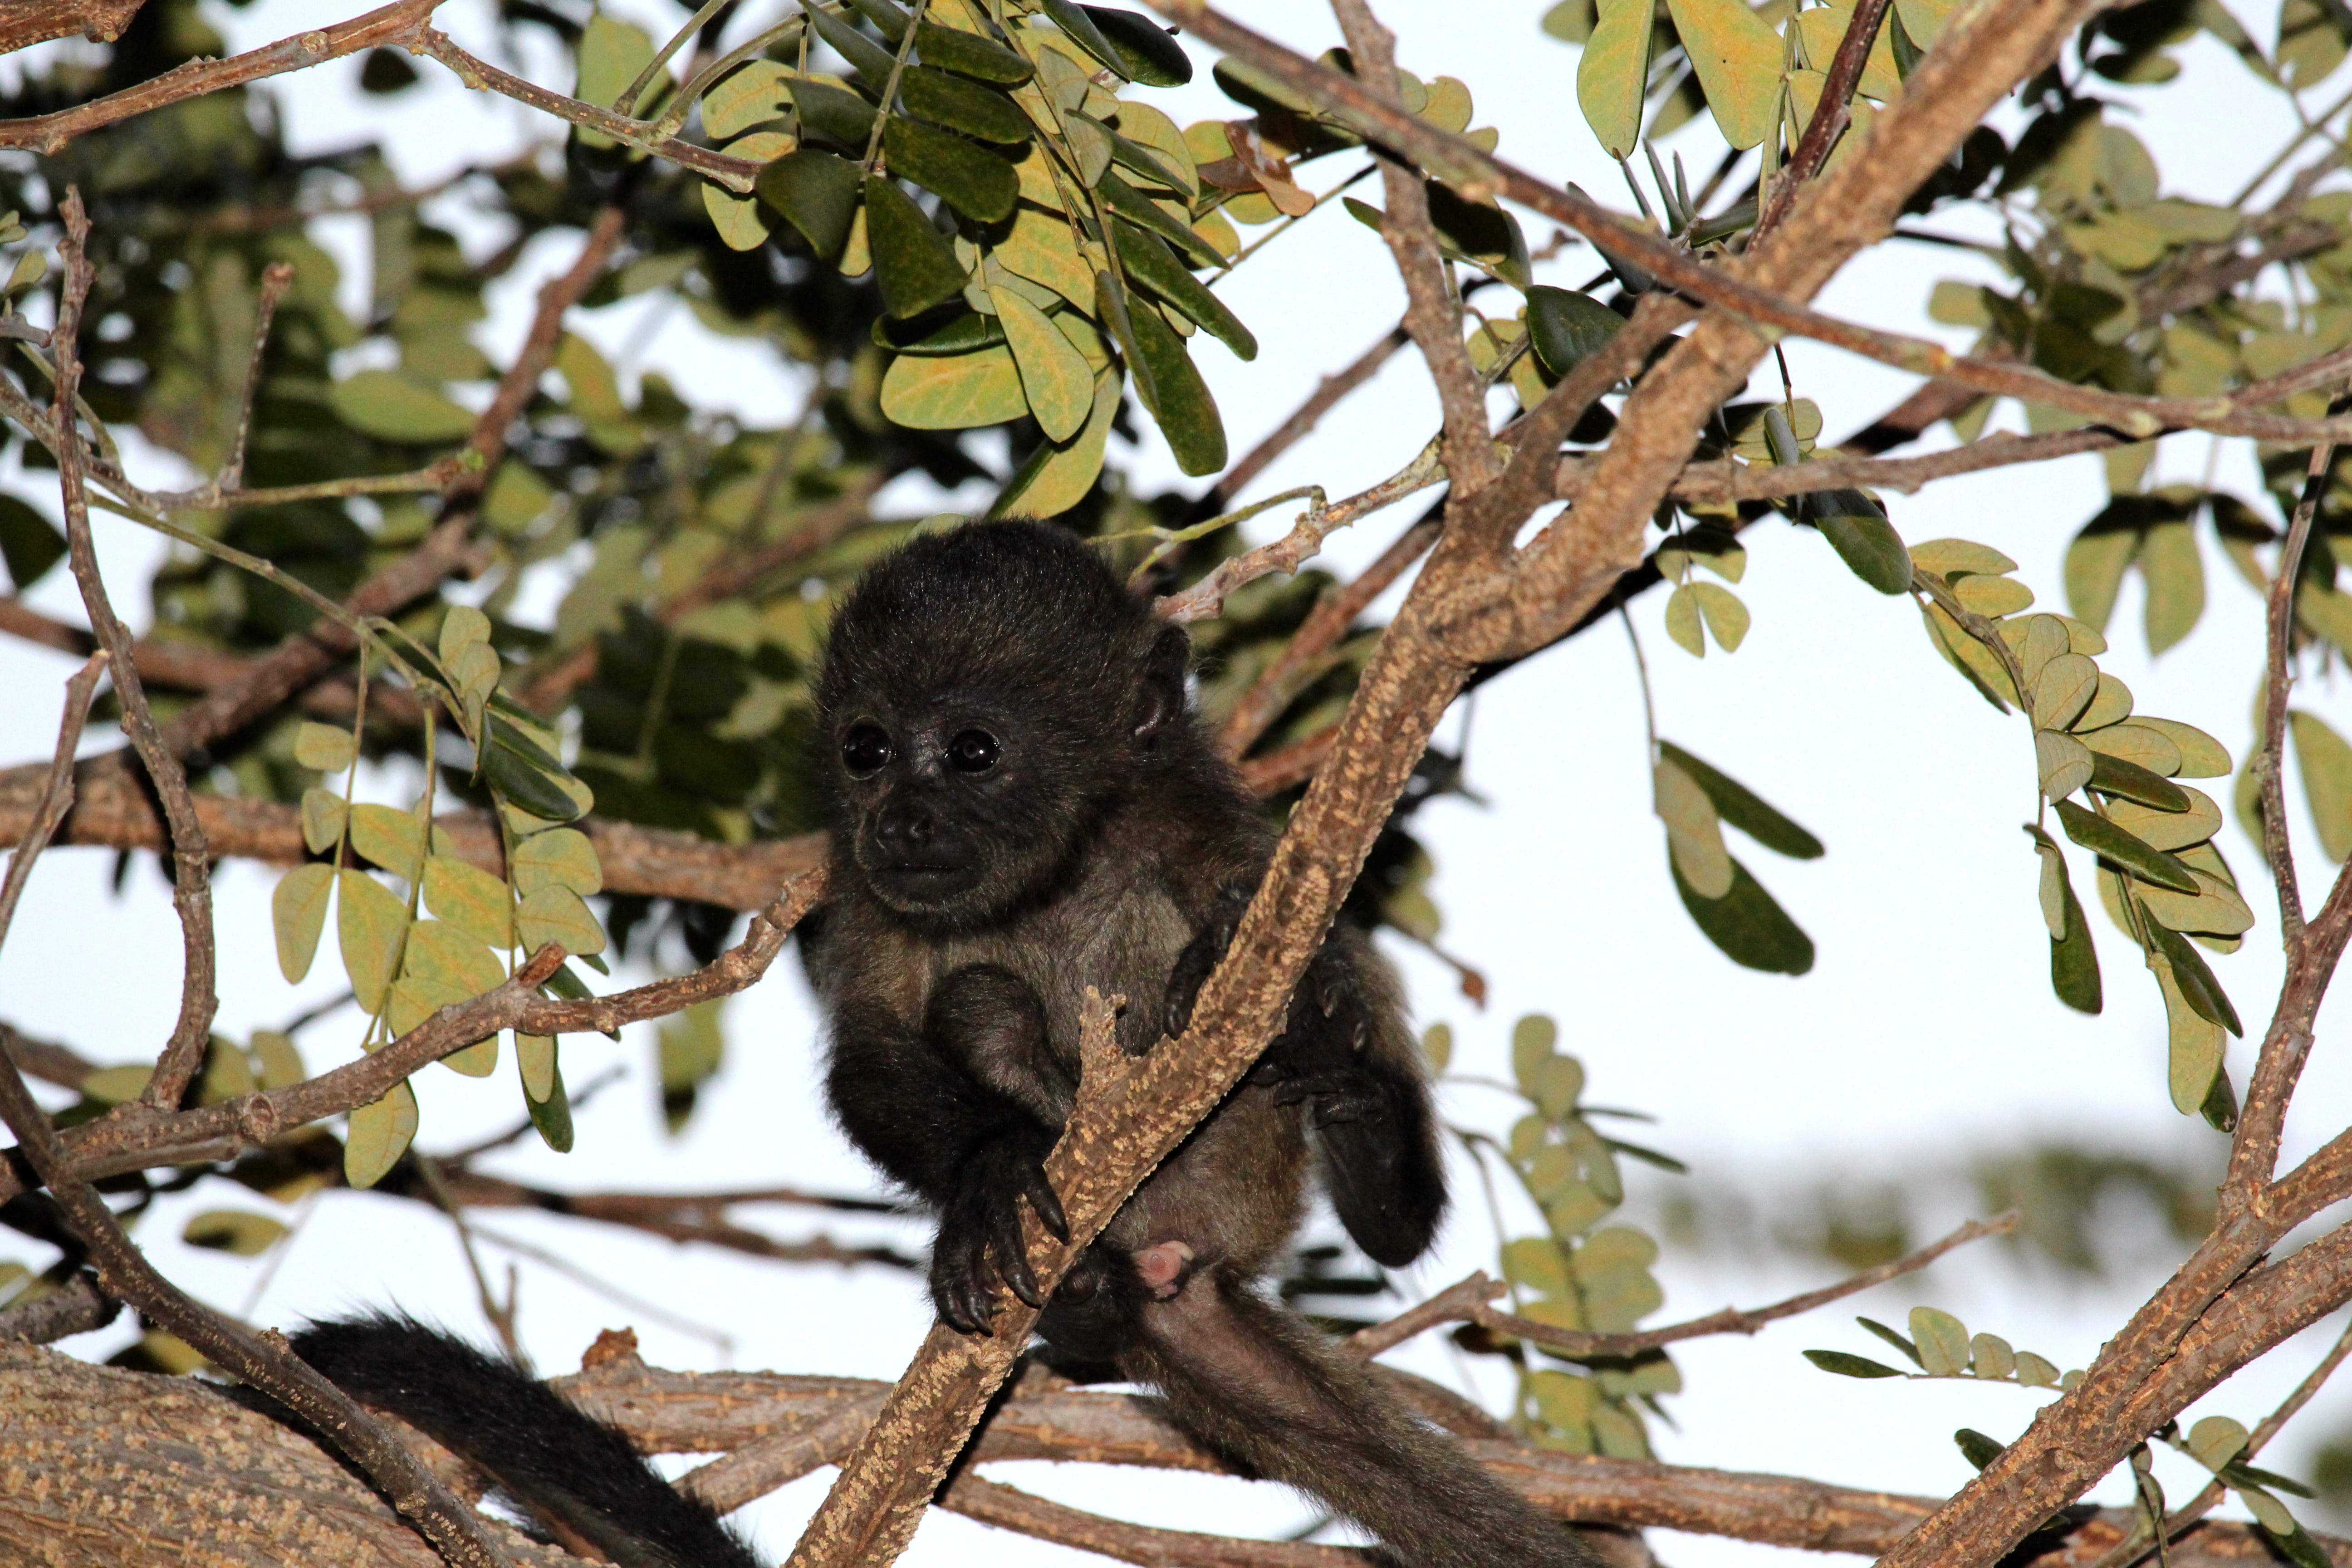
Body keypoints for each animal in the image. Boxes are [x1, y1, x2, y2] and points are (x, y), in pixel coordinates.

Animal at [801, 518, 1598, 1568]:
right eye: (866, 747)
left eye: (973, 749)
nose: (897, 819)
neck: (1056, 869)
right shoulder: (861, 891)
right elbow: (869, 1056)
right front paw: (993, 1167)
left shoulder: (1193, 814)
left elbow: (1314, 949)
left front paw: (1293, 1014)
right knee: (981, 999)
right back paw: (1087, 1293)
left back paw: (1371, 1149)